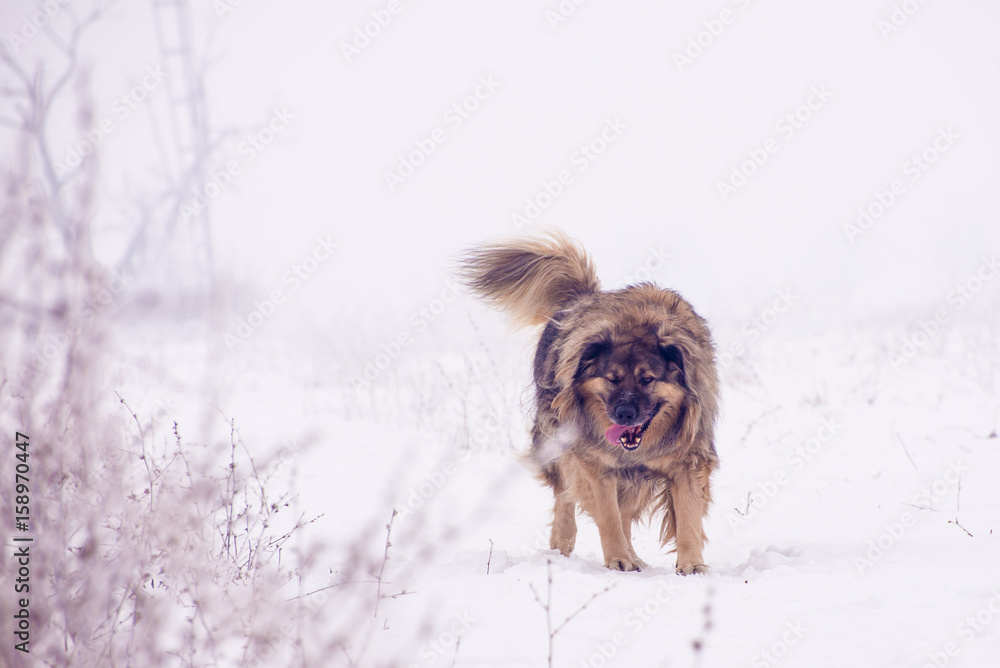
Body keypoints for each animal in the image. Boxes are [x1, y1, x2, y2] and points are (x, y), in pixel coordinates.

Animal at [460, 230, 720, 576]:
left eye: (647, 379)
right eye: (612, 378)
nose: (624, 413)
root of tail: (581, 298)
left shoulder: (688, 459)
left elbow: (687, 516)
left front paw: (692, 566)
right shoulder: (593, 461)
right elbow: (607, 514)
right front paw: (618, 559)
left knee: (624, 509)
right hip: (556, 437)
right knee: (566, 496)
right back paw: (563, 544)